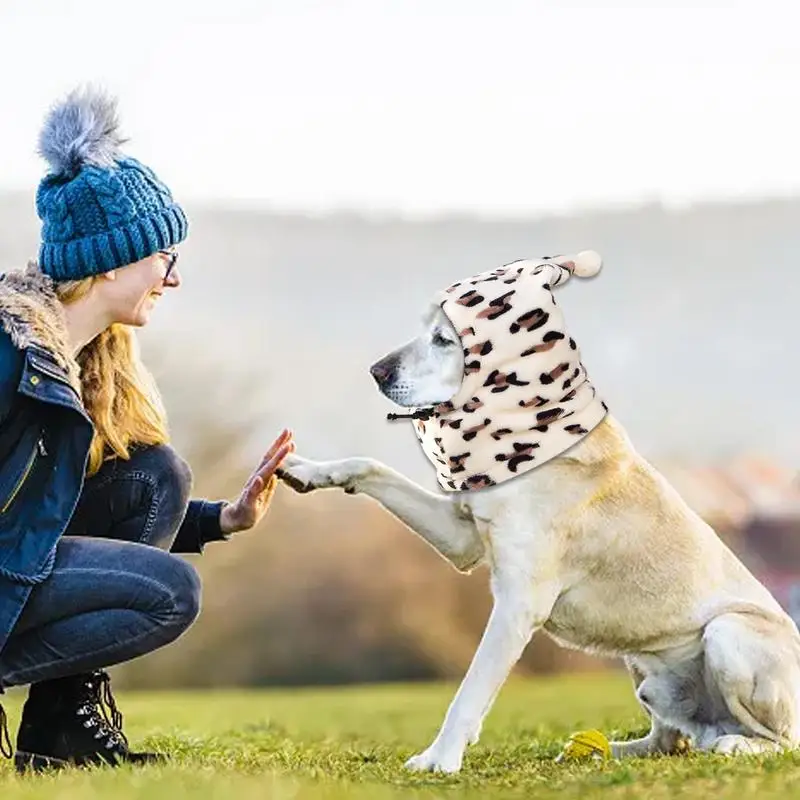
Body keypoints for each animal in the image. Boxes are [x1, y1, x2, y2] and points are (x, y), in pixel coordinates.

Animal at [276, 255, 800, 768]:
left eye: (444, 339)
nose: (376, 371)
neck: (527, 437)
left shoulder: (516, 604)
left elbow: (469, 690)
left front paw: (438, 760)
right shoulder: (463, 538)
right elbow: (372, 466)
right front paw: (305, 469)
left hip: (727, 635)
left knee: (776, 739)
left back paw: (735, 746)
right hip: (645, 668)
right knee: (672, 739)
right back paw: (611, 749)